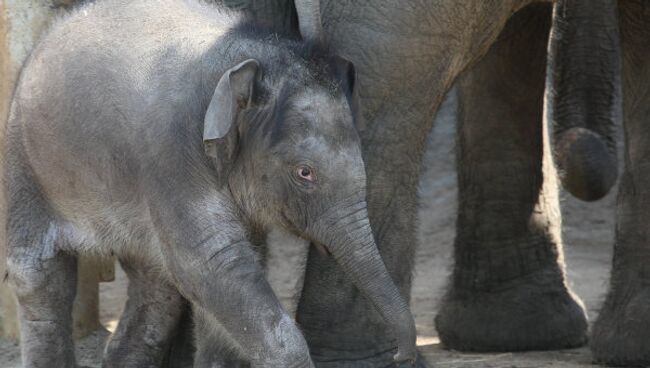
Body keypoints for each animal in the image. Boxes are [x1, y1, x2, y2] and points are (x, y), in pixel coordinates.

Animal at [5, 0, 416, 366]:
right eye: (305, 173)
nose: (400, 354)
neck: (245, 62)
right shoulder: (171, 154)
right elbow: (209, 263)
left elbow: (224, 277)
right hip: (26, 164)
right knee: (39, 278)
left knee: (156, 289)